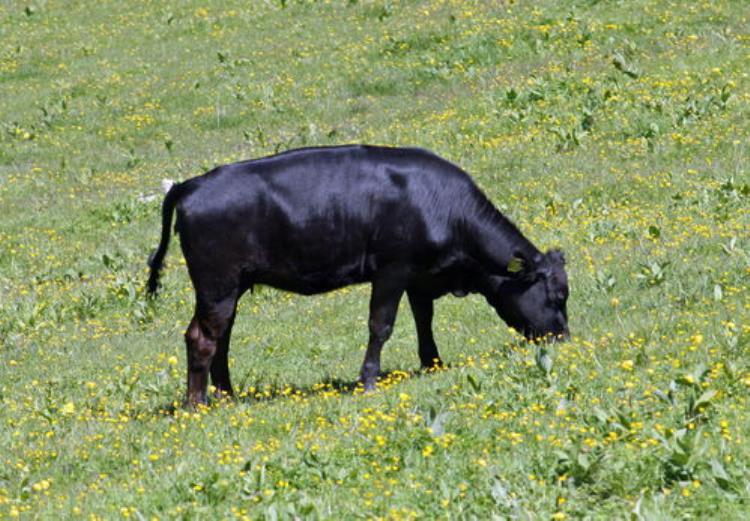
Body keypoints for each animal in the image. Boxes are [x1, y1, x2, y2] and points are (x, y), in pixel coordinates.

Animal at [148, 144, 568, 404]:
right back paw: (197, 404)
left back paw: (227, 395)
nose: (563, 336)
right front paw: (368, 380)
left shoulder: (419, 276)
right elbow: (381, 326)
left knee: (221, 337)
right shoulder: (393, 270)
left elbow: (424, 320)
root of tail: (191, 184)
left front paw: (432, 364)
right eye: (557, 295)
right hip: (216, 285)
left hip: (231, 287)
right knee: (202, 337)